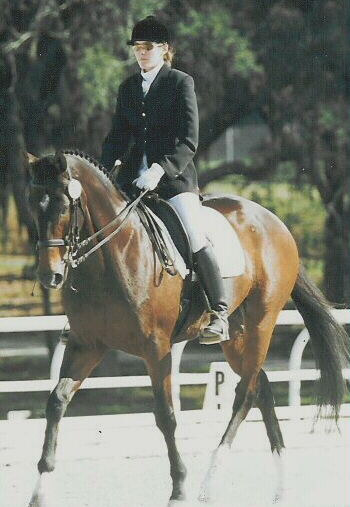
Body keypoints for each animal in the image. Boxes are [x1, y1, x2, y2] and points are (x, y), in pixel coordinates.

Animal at [26, 152, 350, 507]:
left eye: (63, 206)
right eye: (34, 206)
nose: (50, 276)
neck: (112, 257)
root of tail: (274, 222)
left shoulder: (157, 348)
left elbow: (166, 415)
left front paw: (179, 488)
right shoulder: (87, 344)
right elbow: (56, 402)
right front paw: (39, 489)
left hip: (261, 322)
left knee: (245, 393)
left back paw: (208, 482)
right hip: (236, 335)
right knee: (261, 387)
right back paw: (279, 486)